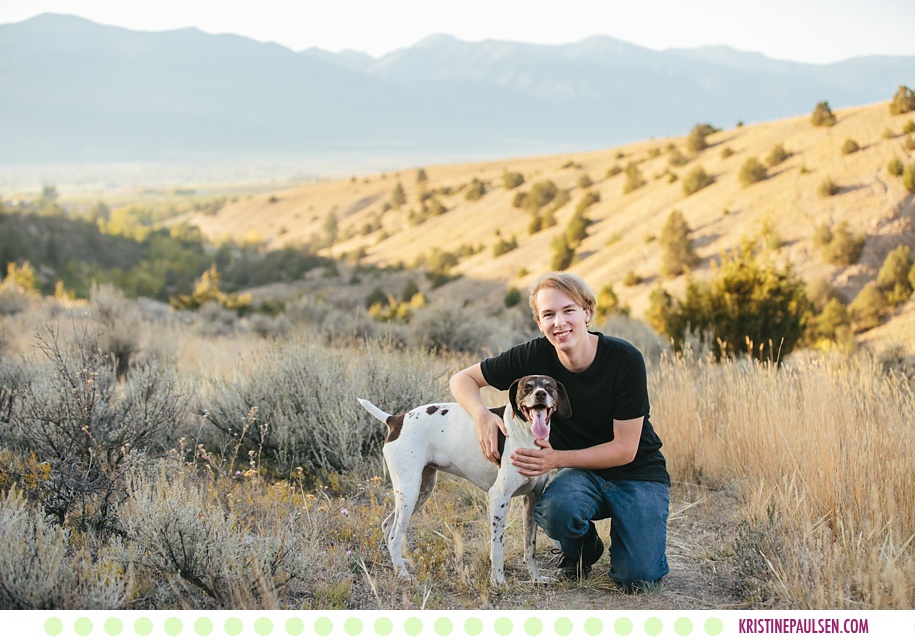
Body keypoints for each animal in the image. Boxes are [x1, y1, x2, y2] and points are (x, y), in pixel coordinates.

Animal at [360, 372, 568, 588]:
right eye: (527, 386)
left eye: (549, 386)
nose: (540, 394)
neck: (525, 434)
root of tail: (396, 419)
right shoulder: (499, 497)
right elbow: (497, 547)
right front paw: (498, 581)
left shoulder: (532, 499)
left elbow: (530, 547)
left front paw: (536, 578)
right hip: (409, 491)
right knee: (394, 535)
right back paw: (402, 573)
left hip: (421, 490)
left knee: (387, 525)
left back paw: (398, 565)